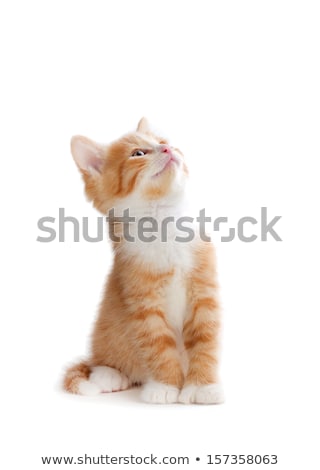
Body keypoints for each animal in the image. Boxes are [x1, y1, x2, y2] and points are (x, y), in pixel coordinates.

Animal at [62, 117, 222, 404]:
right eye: (138, 153)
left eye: (164, 143)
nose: (168, 149)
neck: (163, 225)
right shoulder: (143, 301)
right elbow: (158, 346)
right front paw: (166, 387)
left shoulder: (204, 291)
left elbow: (205, 341)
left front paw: (203, 387)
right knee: (101, 360)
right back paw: (109, 375)